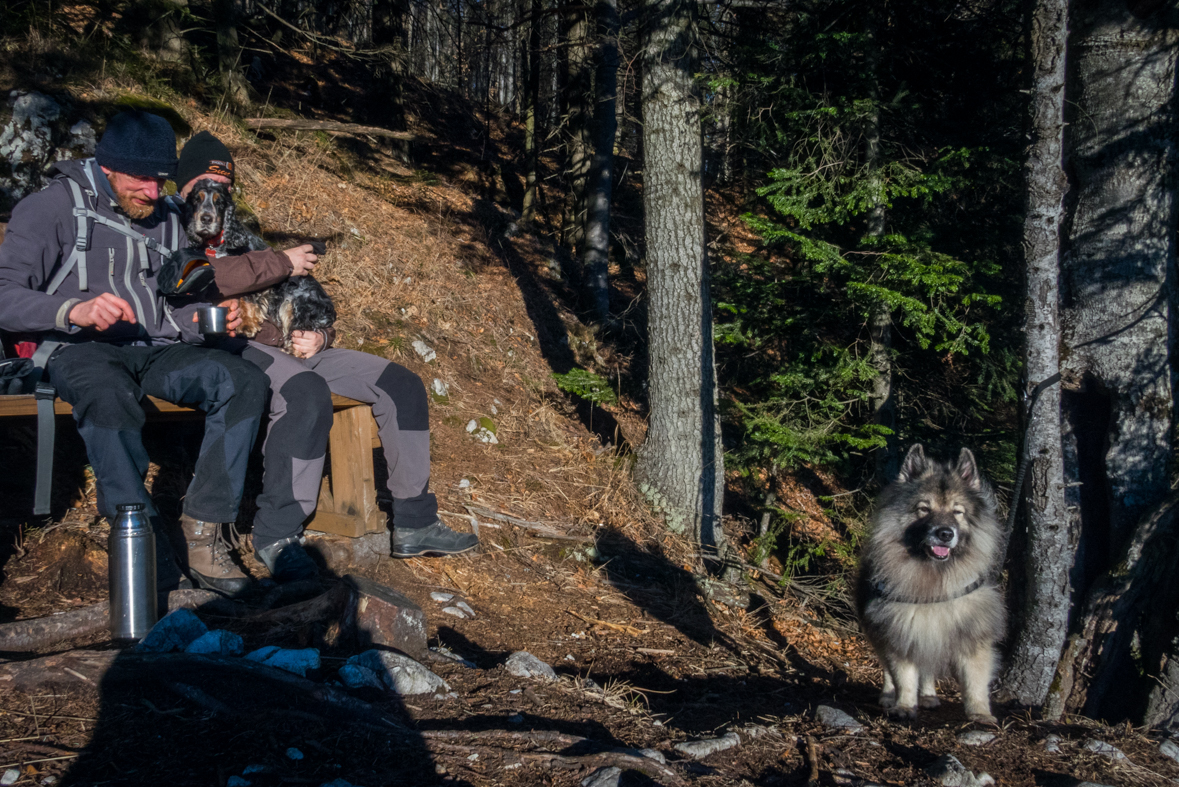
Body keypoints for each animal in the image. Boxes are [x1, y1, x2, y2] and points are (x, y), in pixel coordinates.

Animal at [181, 176, 337, 355]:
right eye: (196, 200)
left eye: (219, 202)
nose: (206, 219)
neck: (216, 245)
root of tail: (330, 310)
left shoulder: (254, 278)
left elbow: (247, 297)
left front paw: (247, 324)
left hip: (293, 304)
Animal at [858, 445, 1004, 721]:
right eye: (924, 509)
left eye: (958, 511)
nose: (945, 533)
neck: (934, 576)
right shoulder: (900, 632)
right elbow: (903, 677)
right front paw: (904, 706)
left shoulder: (969, 637)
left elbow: (975, 681)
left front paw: (980, 713)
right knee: (888, 669)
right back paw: (888, 696)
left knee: (927, 671)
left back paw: (927, 696)